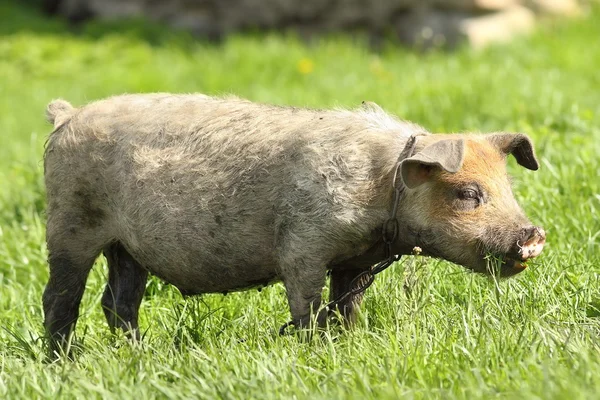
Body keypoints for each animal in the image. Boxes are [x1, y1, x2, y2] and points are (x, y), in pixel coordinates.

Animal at [44, 94, 548, 356]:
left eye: (507, 186)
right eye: (468, 194)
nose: (534, 235)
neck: (382, 189)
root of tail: (67, 114)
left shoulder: (356, 262)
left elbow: (348, 307)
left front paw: (349, 344)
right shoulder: (303, 246)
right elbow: (307, 304)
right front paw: (312, 350)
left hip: (127, 247)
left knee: (118, 303)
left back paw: (137, 354)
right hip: (69, 223)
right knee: (61, 297)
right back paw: (61, 361)